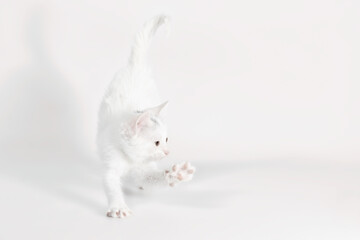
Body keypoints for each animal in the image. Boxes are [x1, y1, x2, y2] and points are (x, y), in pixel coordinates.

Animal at [97, 14, 195, 218]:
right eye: (156, 142)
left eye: (167, 139)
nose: (167, 152)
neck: (131, 158)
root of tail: (136, 66)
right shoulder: (110, 161)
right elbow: (111, 185)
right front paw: (118, 207)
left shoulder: (144, 171)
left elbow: (153, 178)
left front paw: (176, 174)